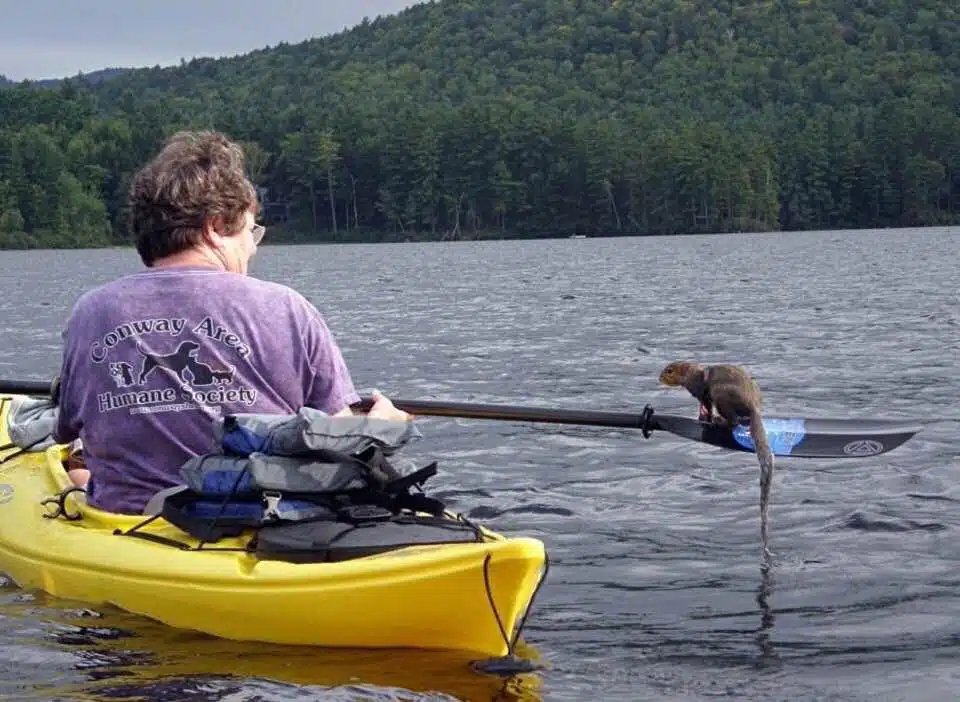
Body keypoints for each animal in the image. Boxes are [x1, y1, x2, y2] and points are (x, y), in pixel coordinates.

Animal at [658, 361, 776, 557]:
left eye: (669, 370)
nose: (659, 378)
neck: (693, 373)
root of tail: (753, 403)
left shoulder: (701, 390)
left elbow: (704, 403)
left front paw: (705, 415)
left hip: (720, 394)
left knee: (733, 420)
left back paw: (719, 420)